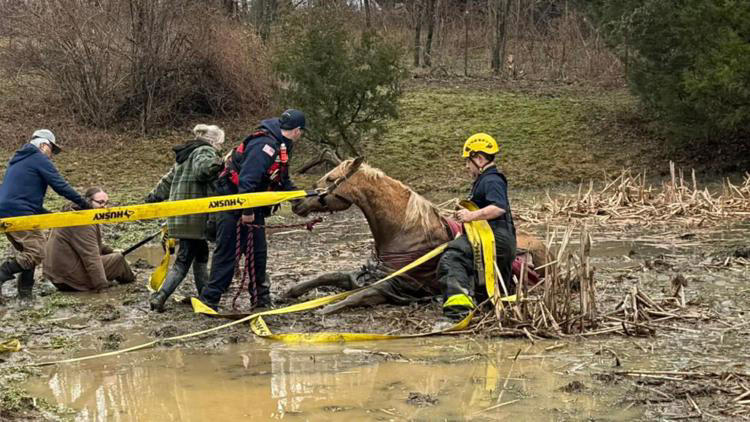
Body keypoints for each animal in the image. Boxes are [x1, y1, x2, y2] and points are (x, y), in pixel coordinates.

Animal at [289, 158, 545, 314]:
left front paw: (322, 309)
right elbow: (327, 276)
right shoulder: (367, 274)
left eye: (331, 179)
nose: (295, 201)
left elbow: (356, 296)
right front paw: (288, 293)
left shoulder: (394, 285)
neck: (404, 231)